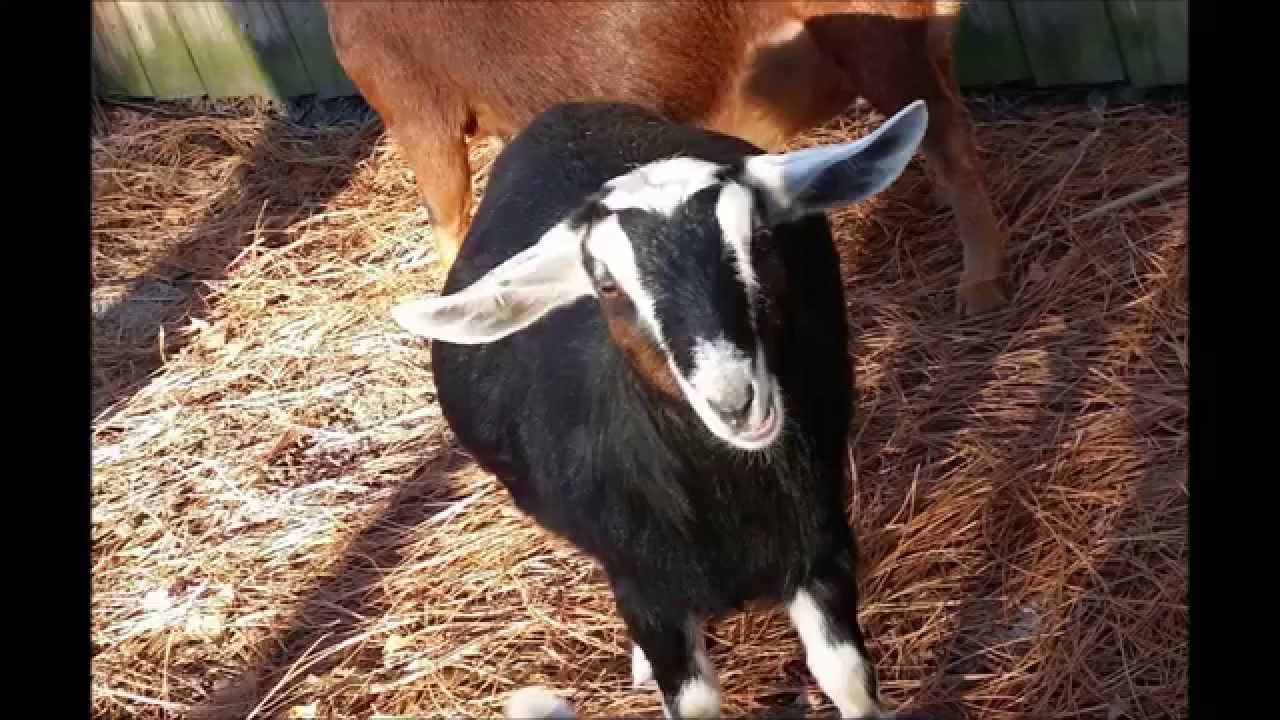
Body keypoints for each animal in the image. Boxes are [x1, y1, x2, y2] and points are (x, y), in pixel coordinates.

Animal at [390, 99, 927, 719]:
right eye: (606, 284)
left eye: (760, 239)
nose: (735, 401)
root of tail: (563, 114)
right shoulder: (648, 590)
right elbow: (693, 701)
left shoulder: (822, 543)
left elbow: (848, 679)